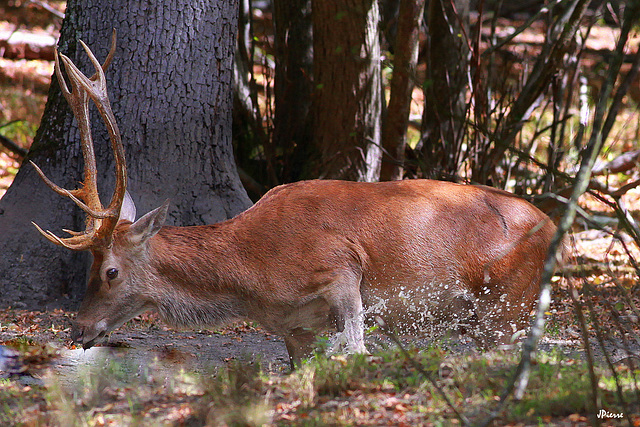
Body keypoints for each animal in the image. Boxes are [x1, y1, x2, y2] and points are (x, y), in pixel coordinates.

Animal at [32, 36, 556, 368]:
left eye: (110, 271)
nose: (78, 329)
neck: (253, 275)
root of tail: (555, 226)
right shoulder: (290, 328)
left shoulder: (343, 271)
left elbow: (356, 352)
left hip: (508, 300)